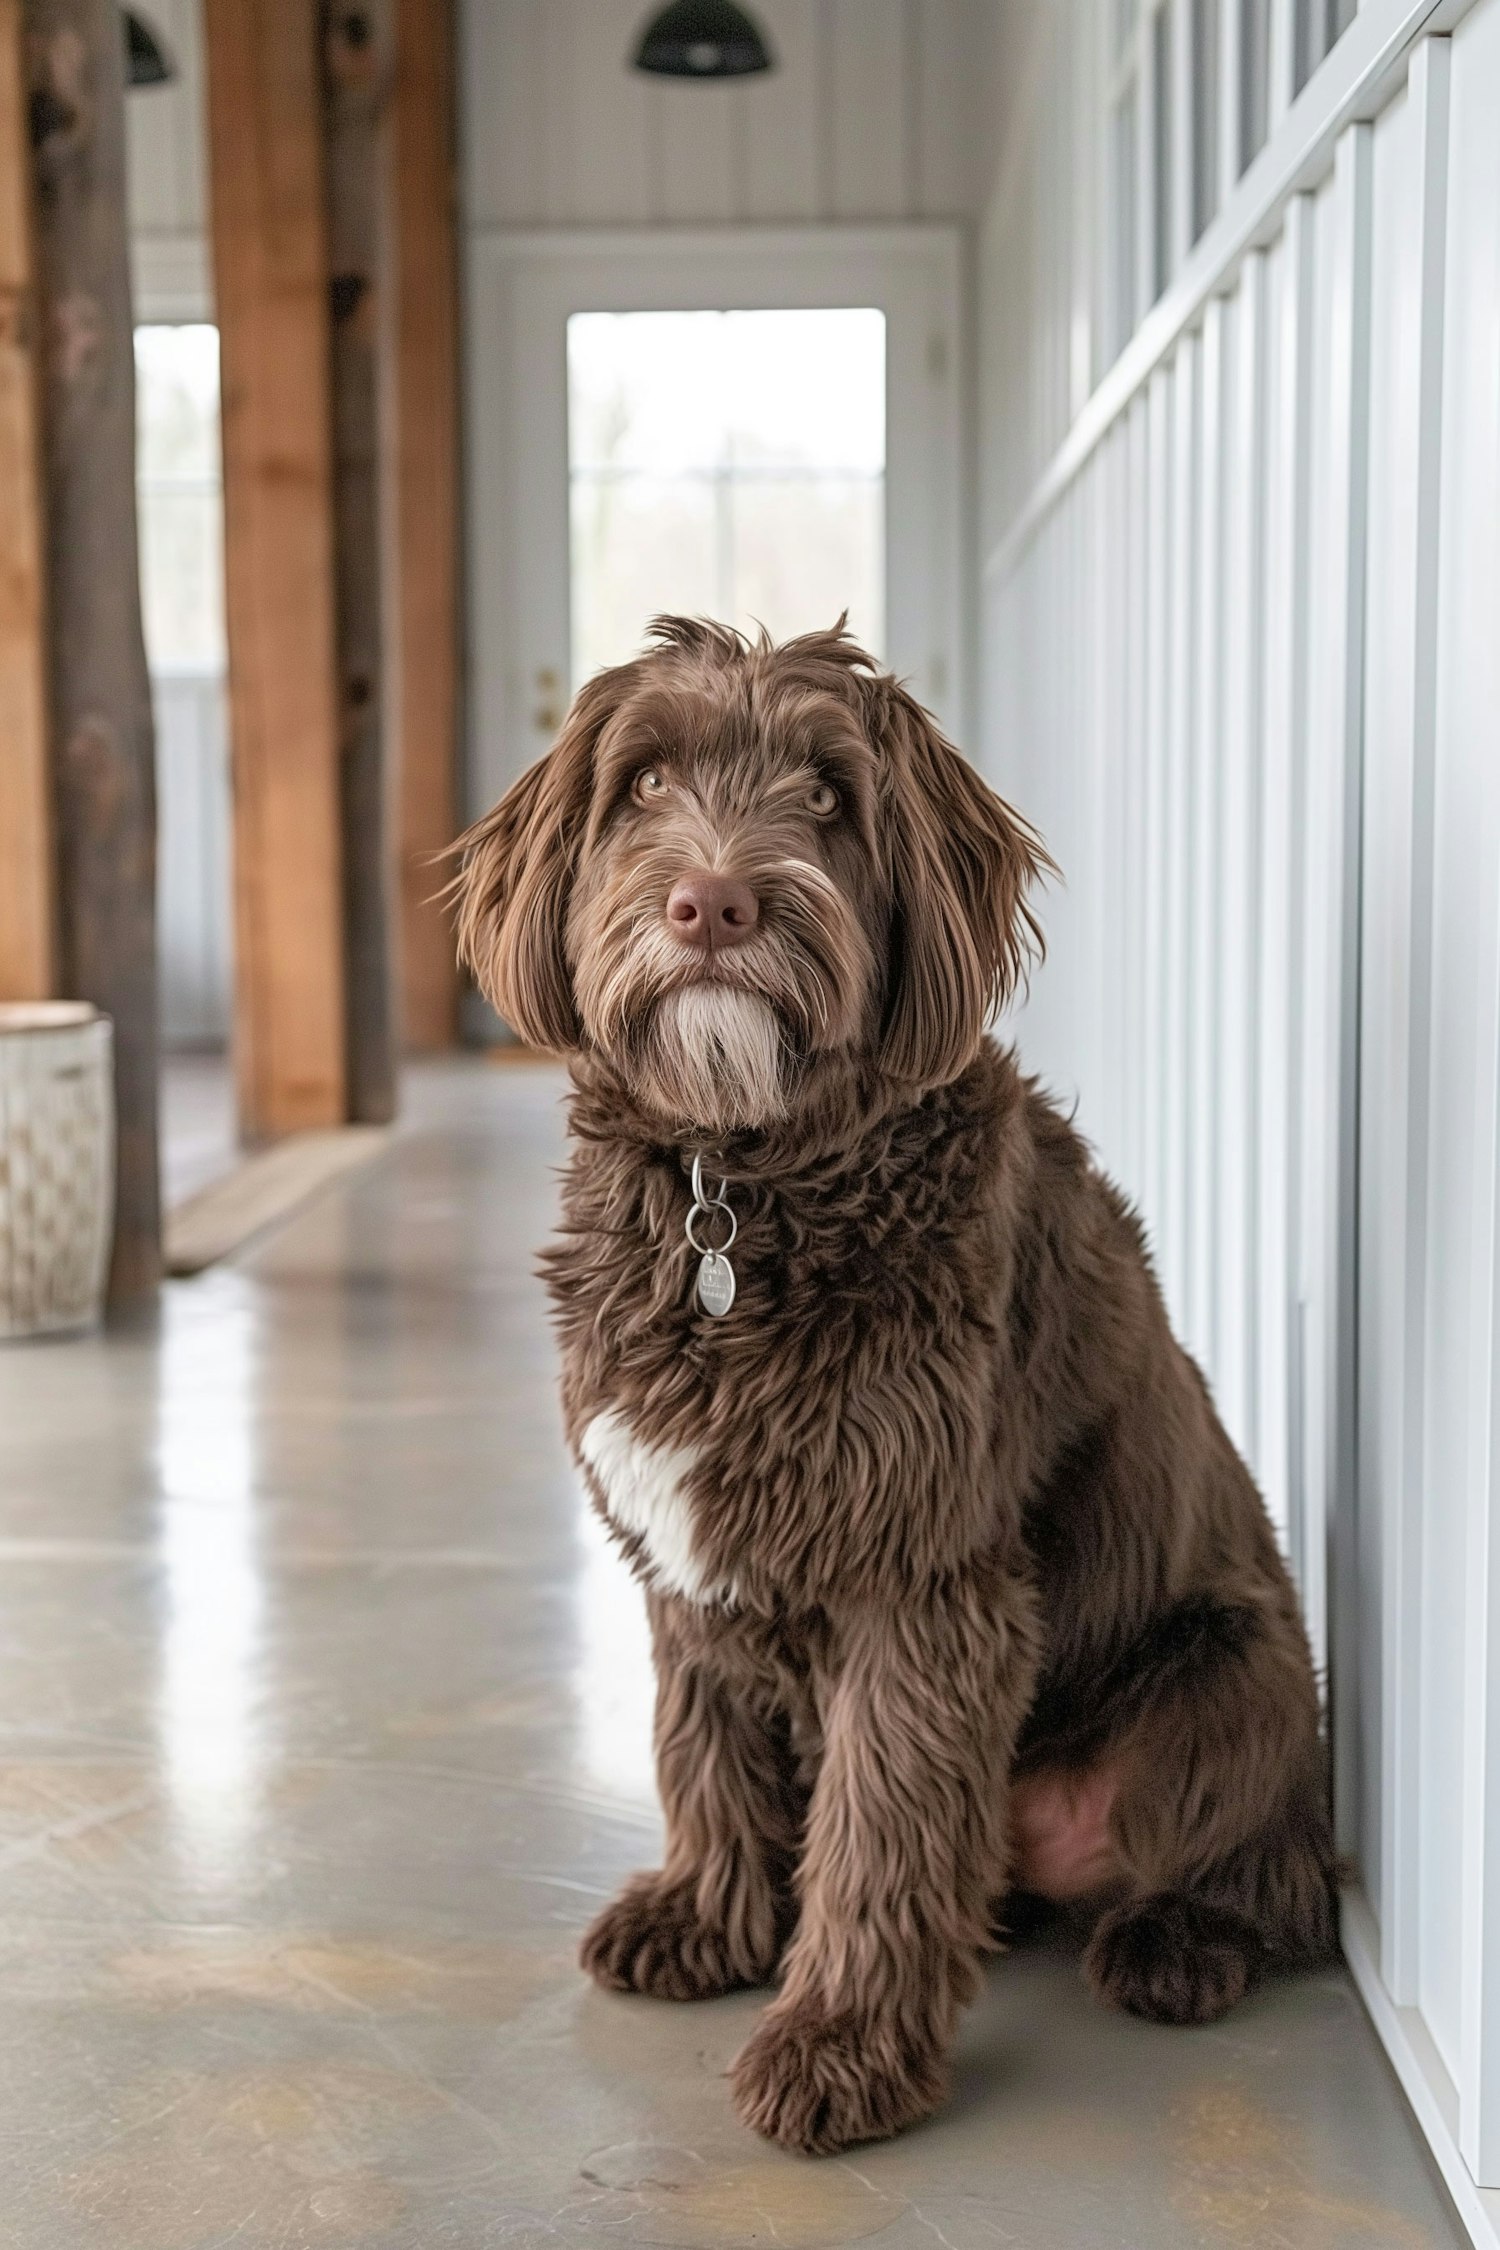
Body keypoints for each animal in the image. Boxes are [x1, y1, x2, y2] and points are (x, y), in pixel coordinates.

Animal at [454, 621, 1340, 2160]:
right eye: (645, 784)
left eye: (824, 796)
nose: (712, 903)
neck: (741, 1192)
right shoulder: (686, 1556)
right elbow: (706, 1743)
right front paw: (711, 1919)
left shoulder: (925, 1588)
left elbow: (884, 1830)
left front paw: (839, 2046)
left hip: (1229, 1683)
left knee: (1273, 1875)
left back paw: (1178, 1940)